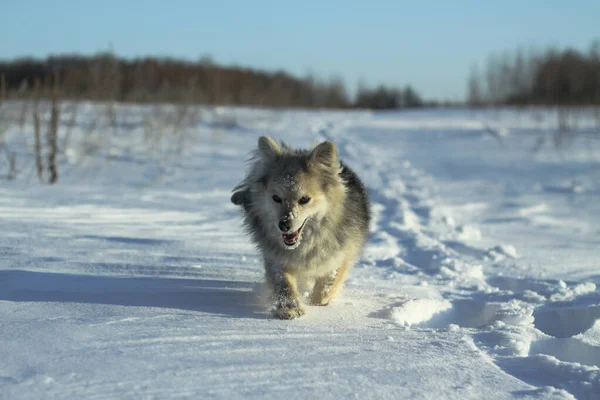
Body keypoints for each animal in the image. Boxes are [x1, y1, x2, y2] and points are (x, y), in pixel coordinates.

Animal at [231, 137, 368, 318]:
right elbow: (283, 281)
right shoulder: (276, 257)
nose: (283, 225)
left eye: (304, 199)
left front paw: (318, 302)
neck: (305, 244)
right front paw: (289, 307)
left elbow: (327, 284)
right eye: (276, 198)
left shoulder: (340, 254)